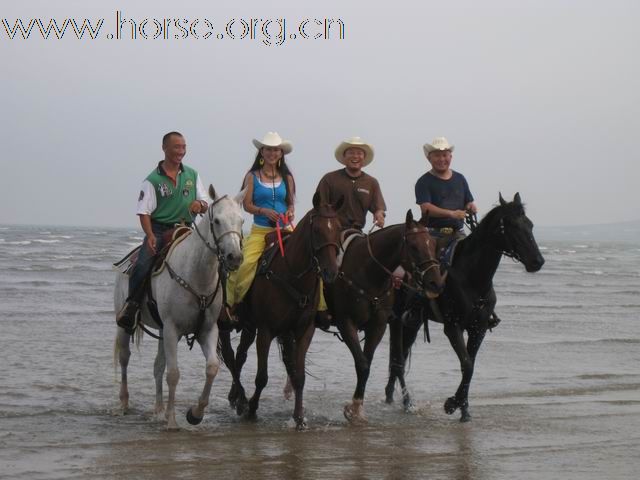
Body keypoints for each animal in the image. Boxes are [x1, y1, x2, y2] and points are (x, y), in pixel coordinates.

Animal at [114, 186, 244, 430]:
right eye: (217, 221)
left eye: (241, 220)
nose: (235, 257)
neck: (195, 275)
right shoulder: (173, 329)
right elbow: (173, 374)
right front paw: (173, 421)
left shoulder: (206, 330)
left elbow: (212, 368)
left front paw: (195, 414)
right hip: (125, 324)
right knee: (125, 357)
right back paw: (125, 403)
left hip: (162, 331)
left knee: (158, 366)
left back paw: (159, 410)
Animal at [218, 193, 342, 430]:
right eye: (317, 230)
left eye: (338, 228)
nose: (331, 272)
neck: (292, 273)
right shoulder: (266, 331)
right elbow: (262, 377)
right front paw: (252, 409)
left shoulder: (303, 331)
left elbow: (298, 375)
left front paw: (299, 418)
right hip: (224, 324)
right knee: (229, 357)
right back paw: (241, 401)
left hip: (250, 327)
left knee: (240, 356)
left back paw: (235, 397)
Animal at [324, 211, 444, 424]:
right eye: (414, 246)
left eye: (433, 244)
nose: (435, 283)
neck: (367, 272)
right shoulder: (346, 324)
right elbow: (363, 364)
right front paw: (354, 409)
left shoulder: (379, 325)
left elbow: (376, 362)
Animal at [384, 193, 544, 422]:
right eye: (512, 226)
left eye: (529, 225)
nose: (537, 261)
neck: (472, 277)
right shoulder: (453, 327)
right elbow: (467, 365)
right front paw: (452, 404)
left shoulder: (479, 328)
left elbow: (471, 365)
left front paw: (463, 408)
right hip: (397, 320)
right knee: (398, 360)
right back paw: (407, 403)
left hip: (414, 322)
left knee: (401, 357)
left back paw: (391, 395)